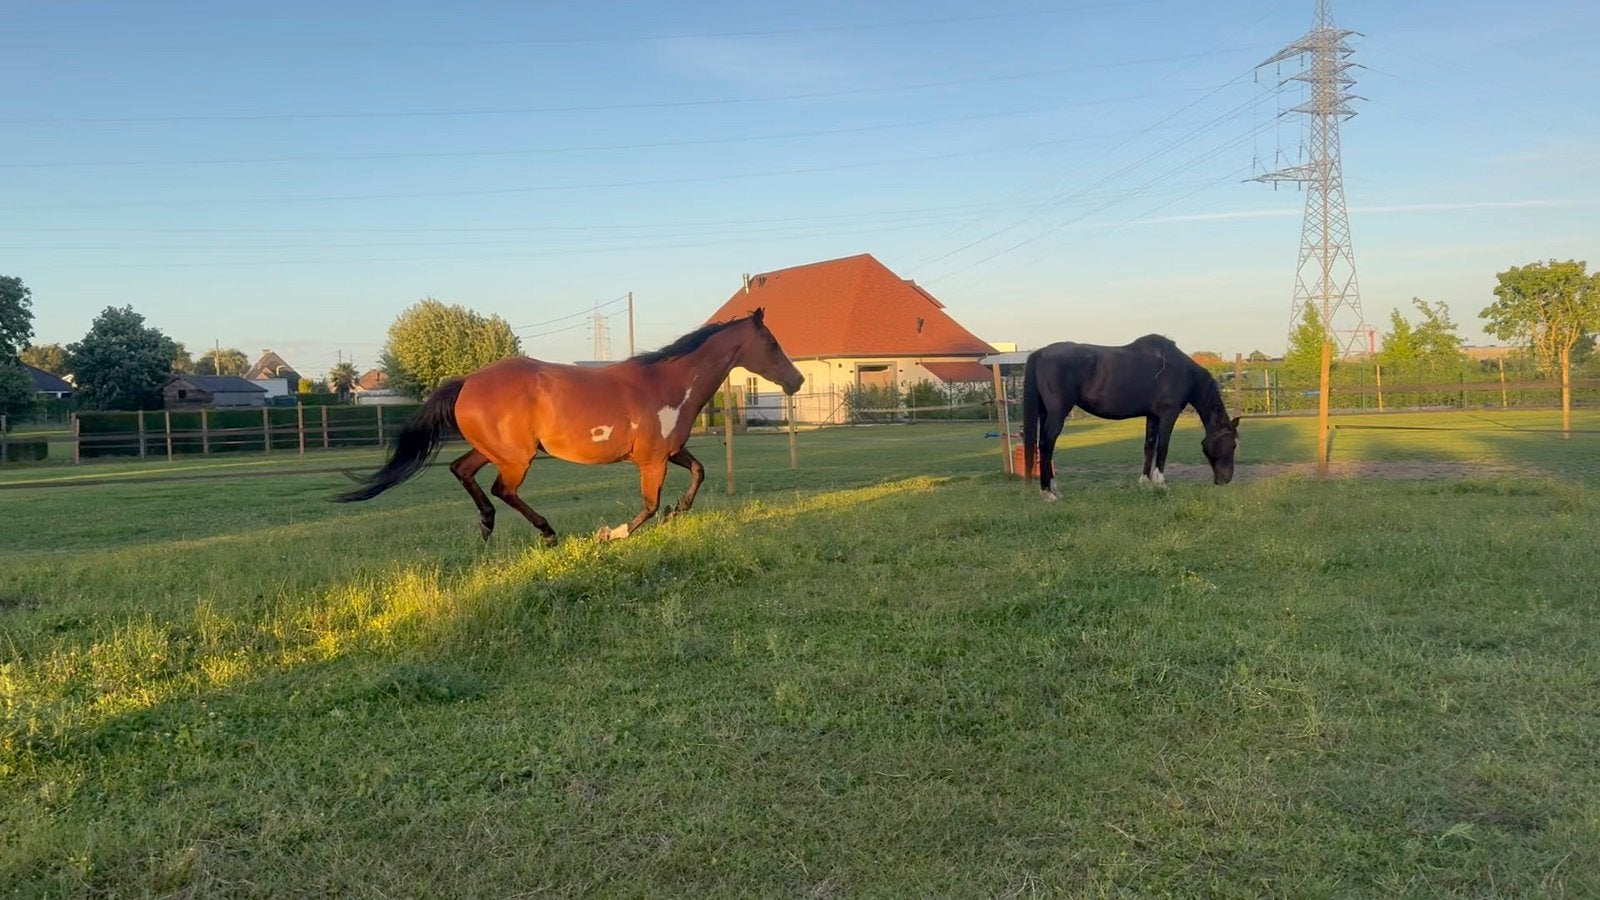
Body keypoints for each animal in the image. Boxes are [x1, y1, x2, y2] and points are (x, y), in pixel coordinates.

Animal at [335, 309, 804, 542]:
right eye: (772, 343)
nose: (796, 380)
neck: (668, 383)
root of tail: (467, 380)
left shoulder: (670, 452)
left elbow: (699, 473)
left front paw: (678, 512)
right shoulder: (651, 461)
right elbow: (649, 506)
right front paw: (611, 534)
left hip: (493, 450)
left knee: (461, 471)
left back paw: (487, 527)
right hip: (517, 458)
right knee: (502, 490)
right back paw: (547, 533)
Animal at [1021, 334, 1240, 501]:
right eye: (1233, 444)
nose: (1226, 480)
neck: (1181, 371)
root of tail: (1042, 352)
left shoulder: (1153, 416)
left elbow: (1149, 446)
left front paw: (1146, 483)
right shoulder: (1168, 414)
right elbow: (1163, 448)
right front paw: (1161, 484)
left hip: (1045, 412)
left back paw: (1054, 489)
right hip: (1057, 413)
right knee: (1047, 445)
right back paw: (1048, 493)